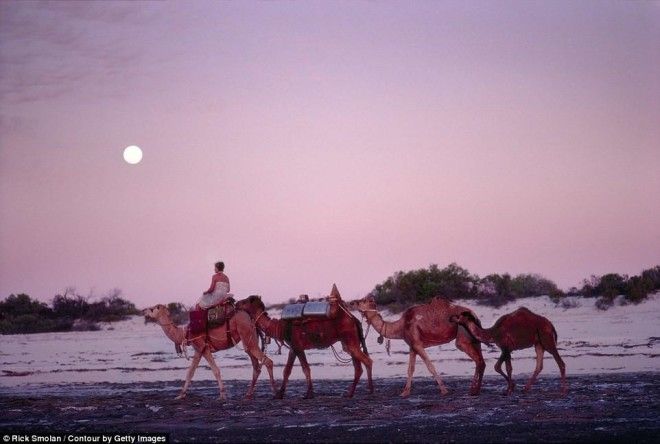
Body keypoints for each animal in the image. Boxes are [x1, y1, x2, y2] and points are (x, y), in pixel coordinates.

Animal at [143, 304, 278, 400]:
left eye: (152, 308)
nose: (144, 311)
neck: (184, 333)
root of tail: (251, 317)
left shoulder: (203, 347)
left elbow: (215, 370)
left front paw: (222, 395)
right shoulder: (198, 349)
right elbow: (190, 372)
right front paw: (180, 395)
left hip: (247, 333)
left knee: (268, 361)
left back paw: (275, 392)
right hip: (249, 339)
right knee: (256, 366)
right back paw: (248, 394)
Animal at [236, 286, 372, 400]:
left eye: (246, 301)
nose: (236, 303)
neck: (280, 327)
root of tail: (354, 319)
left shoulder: (298, 346)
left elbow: (306, 368)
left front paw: (308, 394)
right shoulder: (293, 347)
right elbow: (287, 370)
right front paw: (280, 394)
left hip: (350, 338)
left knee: (367, 361)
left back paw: (371, 392)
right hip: (347, 342)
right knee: (358, 367)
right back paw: (350, 393)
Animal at [350, 296, 484, 398]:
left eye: (362, 300)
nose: (351, 302)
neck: (401, 326)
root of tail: (474, 313)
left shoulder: (417, 344)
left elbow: (430, 366)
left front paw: (444, 390)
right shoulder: (412, 346)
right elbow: (410, 369)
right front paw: (405, 392)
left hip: (462, 334)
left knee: (477, 359)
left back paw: (473, 391)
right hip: (474, 335)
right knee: (480, 361)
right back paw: (474, 390)